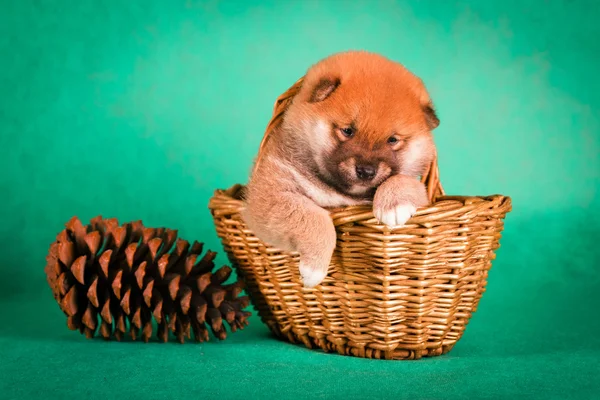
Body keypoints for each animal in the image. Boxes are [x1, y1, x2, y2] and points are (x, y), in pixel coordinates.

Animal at [240, 50, 440, 288]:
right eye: (347, 131)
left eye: (392, 140)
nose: (366, 171)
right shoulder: (270, 193)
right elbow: (313, 216)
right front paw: (314, 268)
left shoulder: (424, 196)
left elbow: (406, 181)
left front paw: (394, 205)